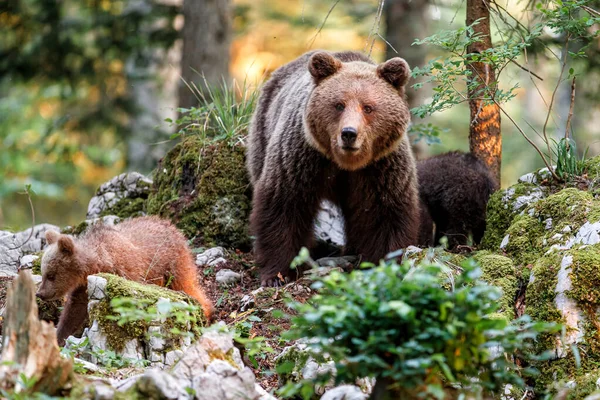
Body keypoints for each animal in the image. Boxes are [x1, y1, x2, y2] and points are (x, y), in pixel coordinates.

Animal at [35, 217, 213, 346]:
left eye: (51, 275)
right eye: (43, 273)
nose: (40, 293)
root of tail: (169, 224)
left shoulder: (127, 271)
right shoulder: (82, 288)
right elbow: (72, 312)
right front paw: (58, 336)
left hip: (173, 264)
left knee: (188, 285)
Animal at [246, 50, 420, 288]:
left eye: (368, 107)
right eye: (339, 105)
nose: (348, 133)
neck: (346, 163)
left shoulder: (381, 168)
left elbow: (385, 214)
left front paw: (385, 264)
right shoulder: (303, 157)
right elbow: (284, 205)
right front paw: (278, 274)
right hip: (263, 133)